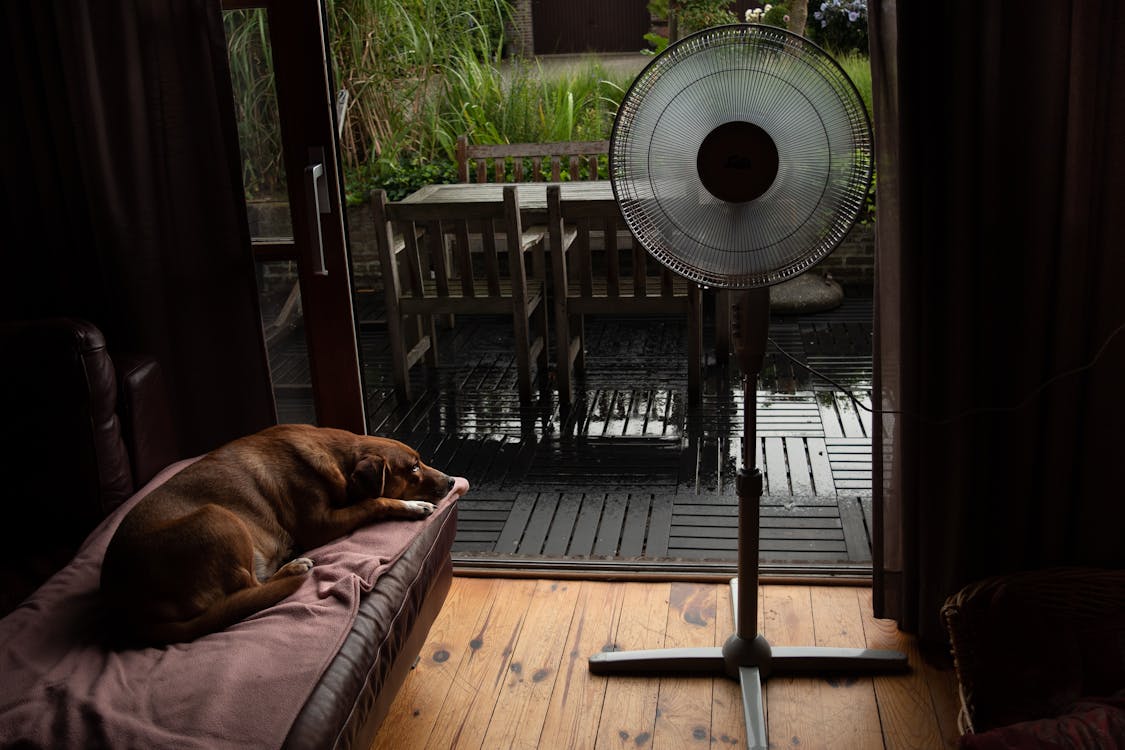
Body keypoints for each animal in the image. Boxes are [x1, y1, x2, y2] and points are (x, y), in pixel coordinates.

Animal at [100, 422, 452, 647]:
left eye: (421, 460)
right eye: (414, 468)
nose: (450, 481)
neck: (336, 457)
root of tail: (122, 607)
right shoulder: (320, 524)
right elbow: (374, 501)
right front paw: (411, 505)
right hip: (218, 517)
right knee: (250, 587)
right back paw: (293, 568)